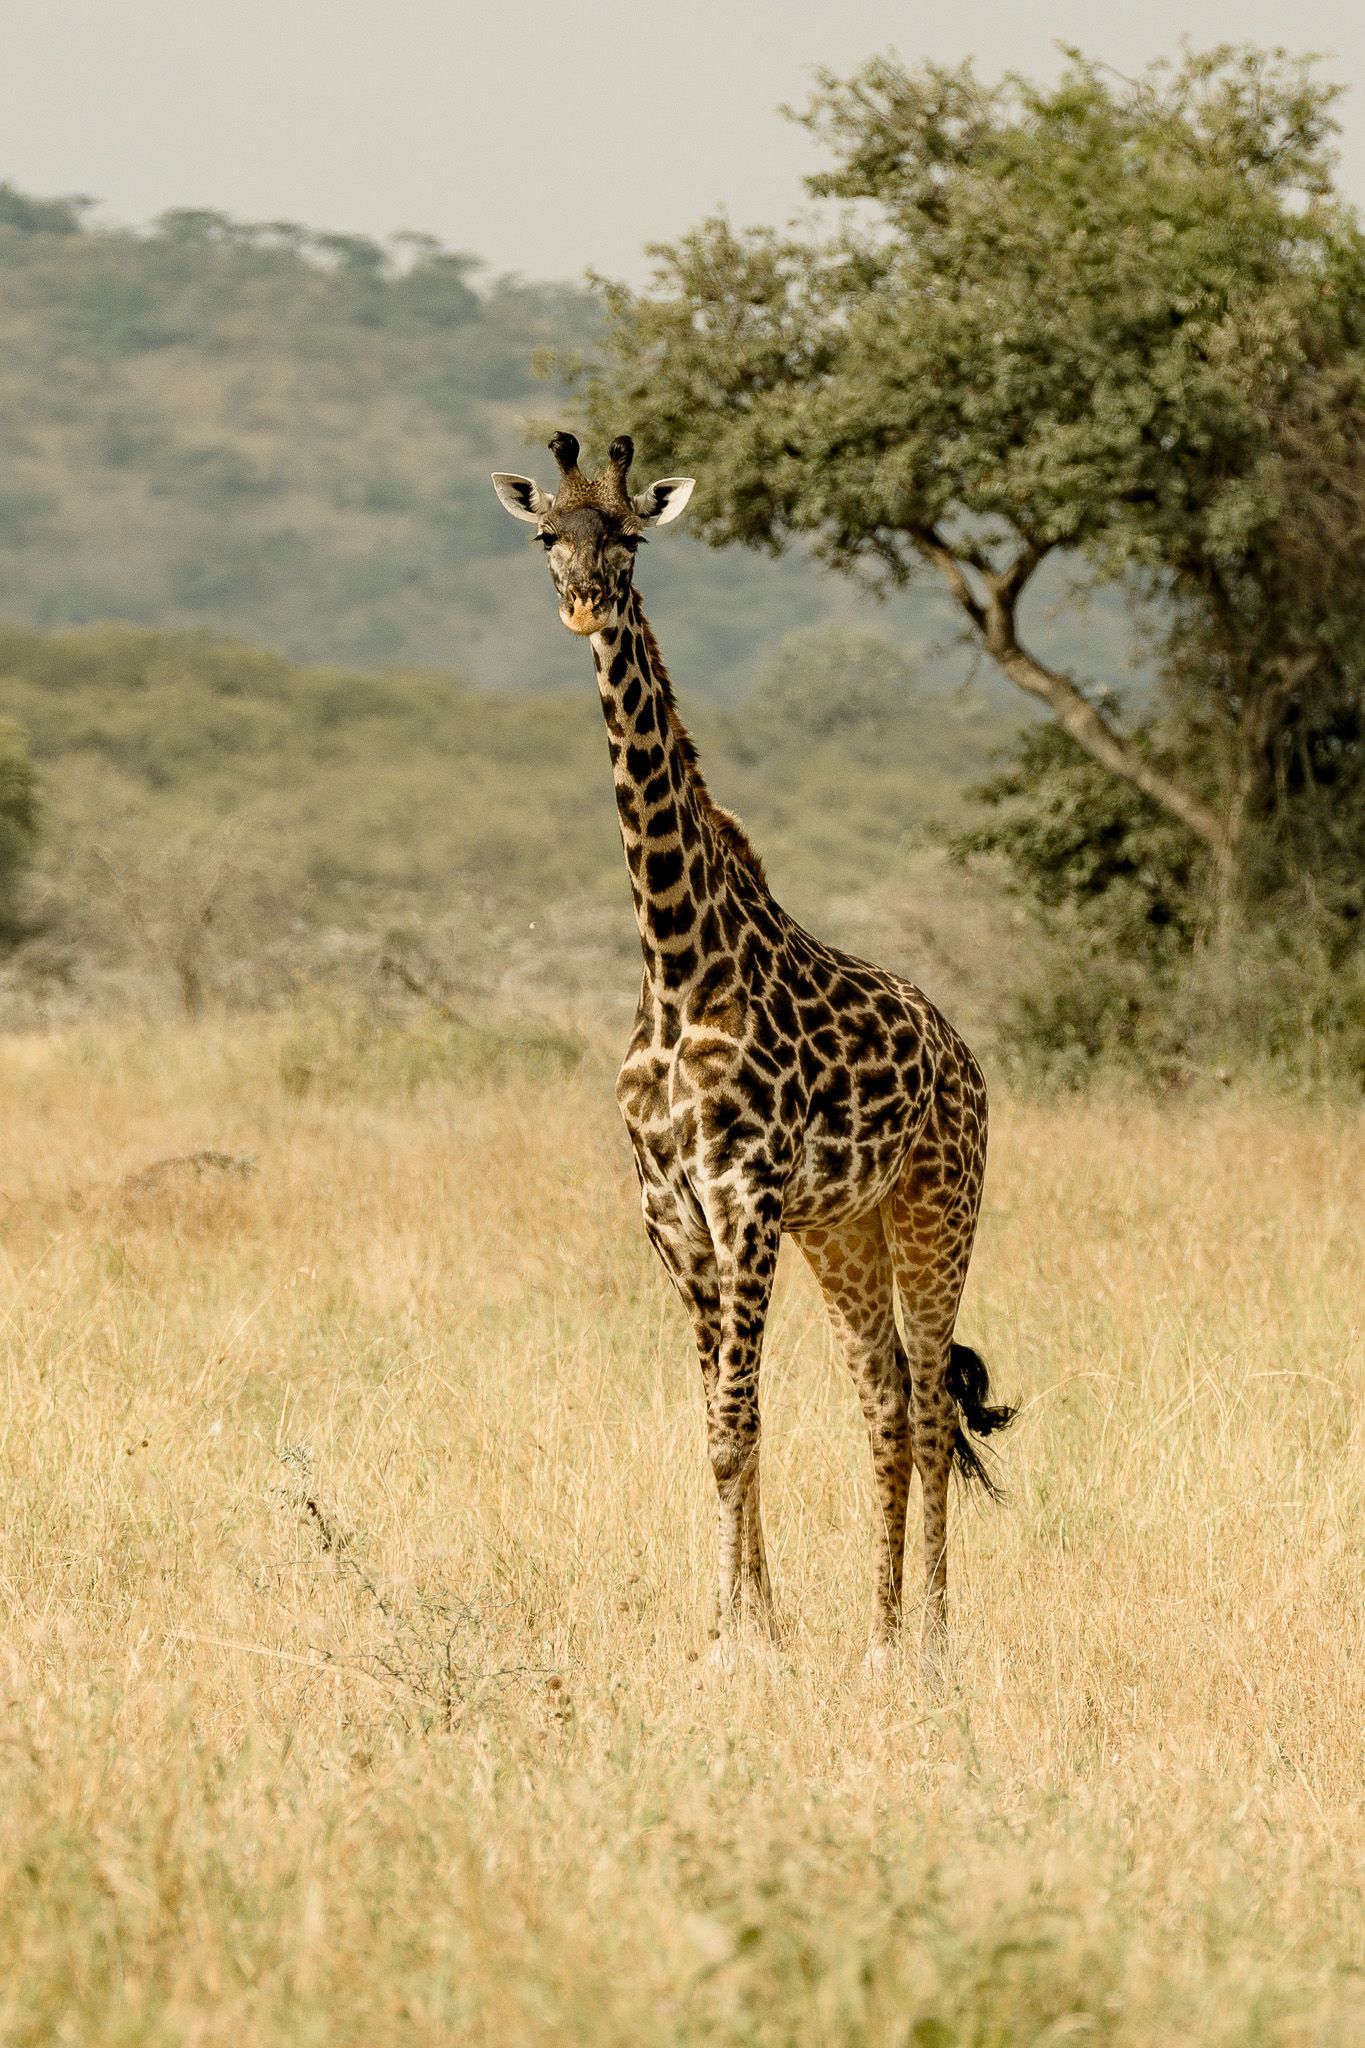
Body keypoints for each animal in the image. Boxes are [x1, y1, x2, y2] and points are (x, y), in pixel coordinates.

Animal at [491, 431, 1014, 1671]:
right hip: (847, 1229)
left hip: (938, 1207)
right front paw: (741, 1623)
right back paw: (877, 1631)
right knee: (884, 1395)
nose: (584, 603)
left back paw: (928, 1637)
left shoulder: (748, 1196)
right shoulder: (672, 1210)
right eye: (547, 537)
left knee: (931, 1397)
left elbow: (738, 1416)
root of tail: (968, 1059)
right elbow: (720, 1423)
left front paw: (745, 1642)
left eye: (630, 535)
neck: (678, 964)